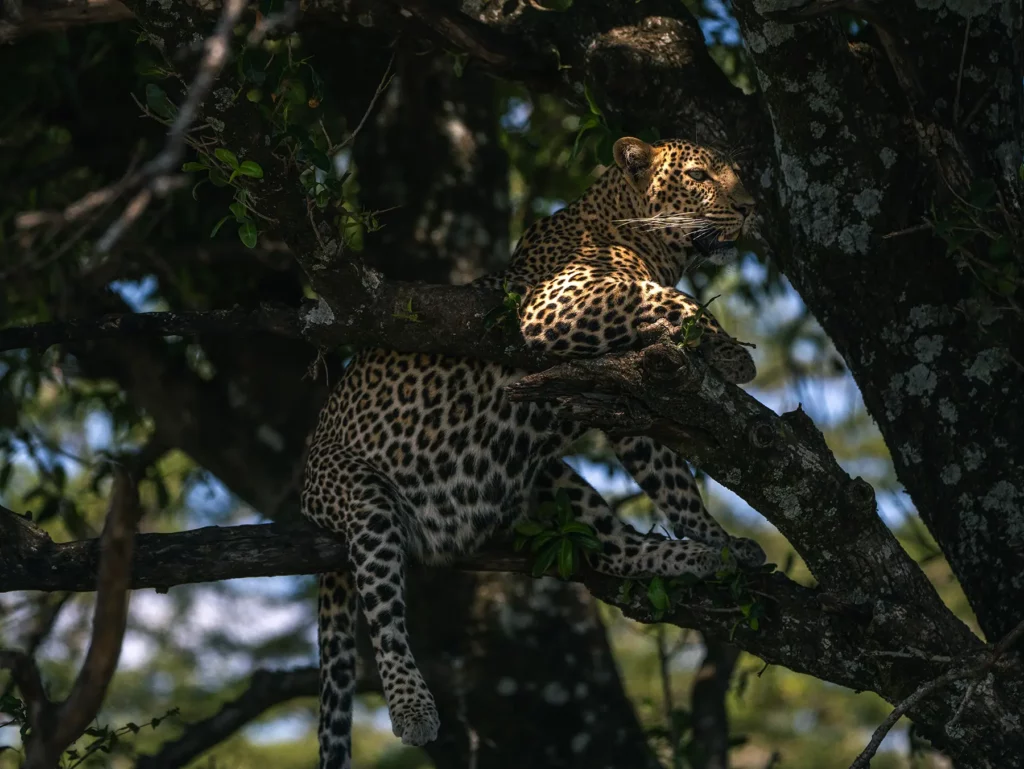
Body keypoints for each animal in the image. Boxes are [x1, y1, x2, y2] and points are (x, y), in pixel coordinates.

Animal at [300, 136, 767, 769]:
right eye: (697, 175)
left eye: (735, 174)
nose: (749, 208)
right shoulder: (559, 303)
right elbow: (668, 298)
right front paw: (732, 352)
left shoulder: (628, 395)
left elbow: (674, 483)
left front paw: (717, 538)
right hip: (362, 497)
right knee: (384, 610)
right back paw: (412, 707)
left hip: (545, 475)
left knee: (612, 547)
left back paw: (698, 557)